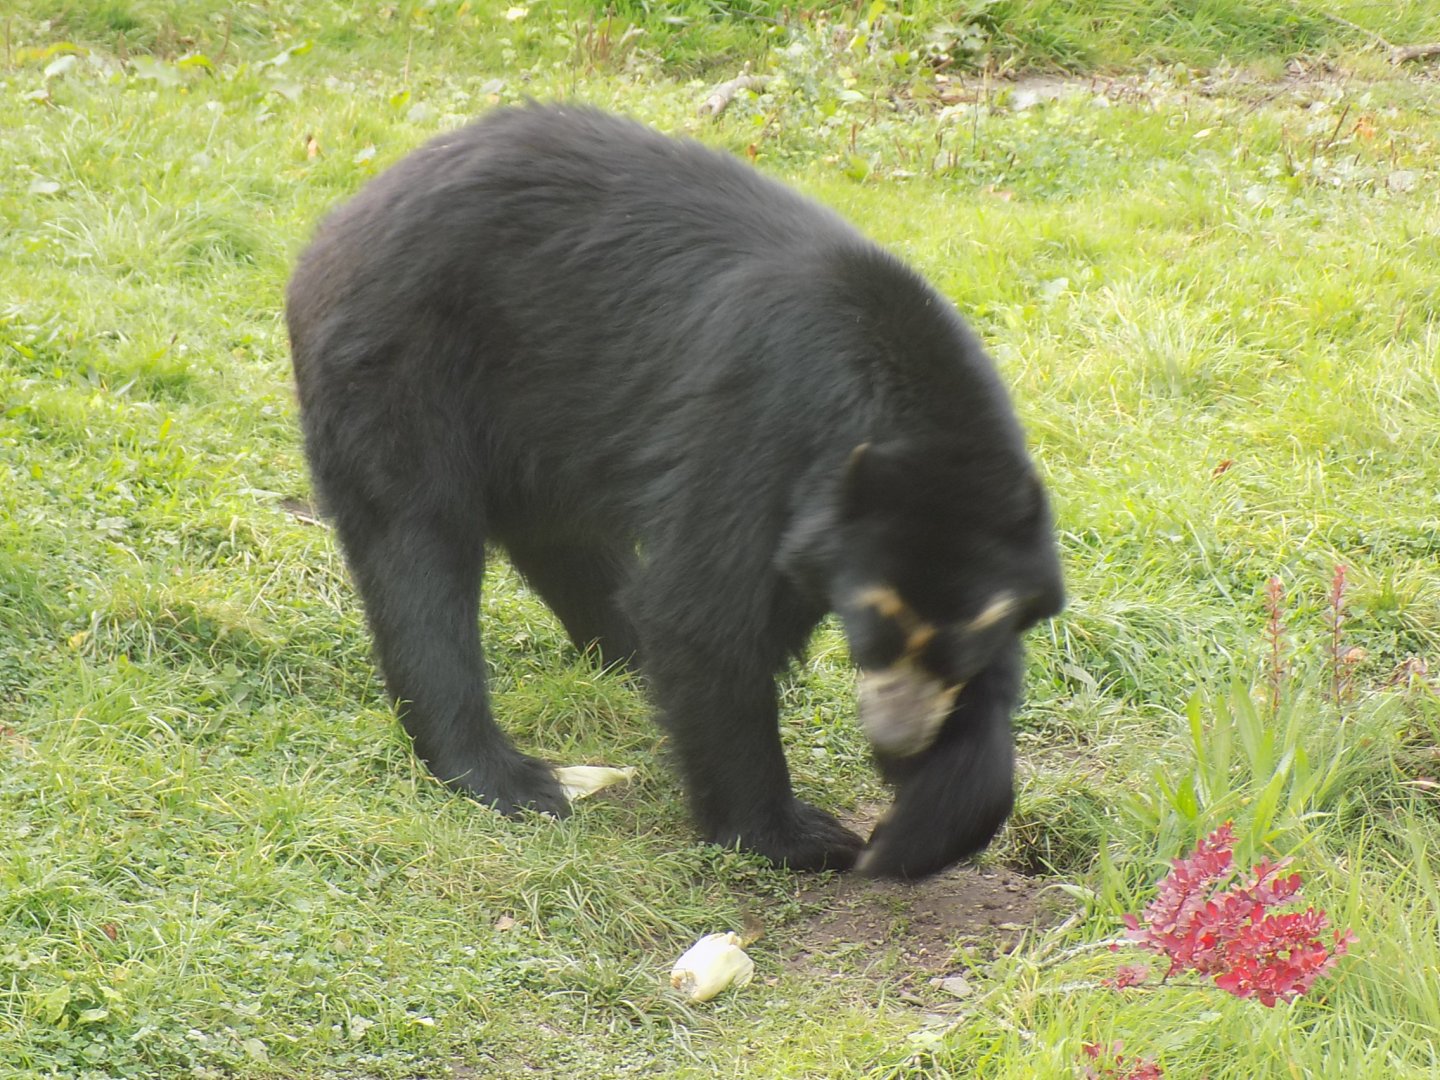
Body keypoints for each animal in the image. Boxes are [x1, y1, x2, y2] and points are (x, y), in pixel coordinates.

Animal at [285, 104, 1064, 879]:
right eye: (877, 621)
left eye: (962, 644)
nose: (898, 739)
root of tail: (339, 220)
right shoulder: (759, 429)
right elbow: (702, 614)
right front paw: (798, 836)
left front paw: (921, 826)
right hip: (397, 359)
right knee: (417, 549)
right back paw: (508, 776)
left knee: (560, 541)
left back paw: (627, 658)